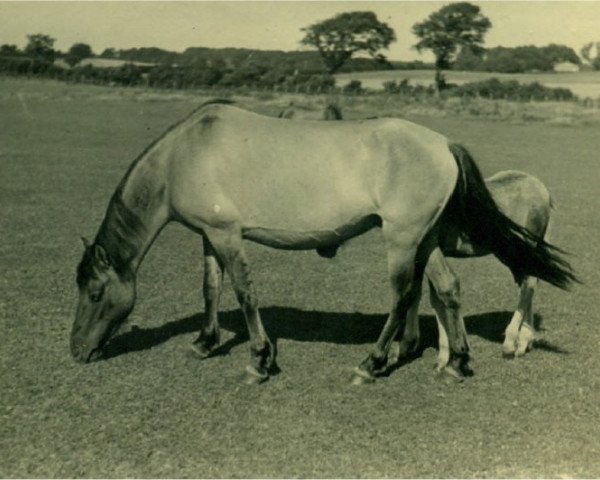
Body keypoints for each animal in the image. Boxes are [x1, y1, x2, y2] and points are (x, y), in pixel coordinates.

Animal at [70, 99, 576, 384]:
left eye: (94, 293)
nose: (76, 350)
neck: (185, 153)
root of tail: (443, 143)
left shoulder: (228, 235)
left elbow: (244, 293)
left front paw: (259, 359)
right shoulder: (210, 236)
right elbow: (212, 289)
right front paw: (205, 341)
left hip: (402, 239)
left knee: (403, 295)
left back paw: (374, 362)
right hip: (425, 238)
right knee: (446, 289)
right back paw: (455, 362)